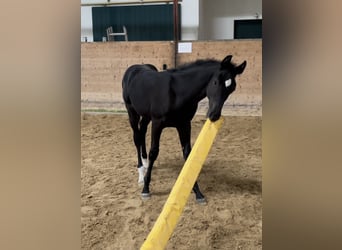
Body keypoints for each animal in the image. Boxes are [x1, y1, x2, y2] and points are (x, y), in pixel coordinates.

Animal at [123, 55, 246, 203]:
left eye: (232, 88)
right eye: (216, 82)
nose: (214, 115)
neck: (176, 92)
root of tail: (133, 68)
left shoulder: (184, 124)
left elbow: (188, 154)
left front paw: (197, 192)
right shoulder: (157, 123)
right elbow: (154, 152)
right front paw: (146, 189)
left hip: (146, 116)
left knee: (142, 133)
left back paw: (145, 164)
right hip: (132, 112)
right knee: (137, 138)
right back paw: (141, 174)